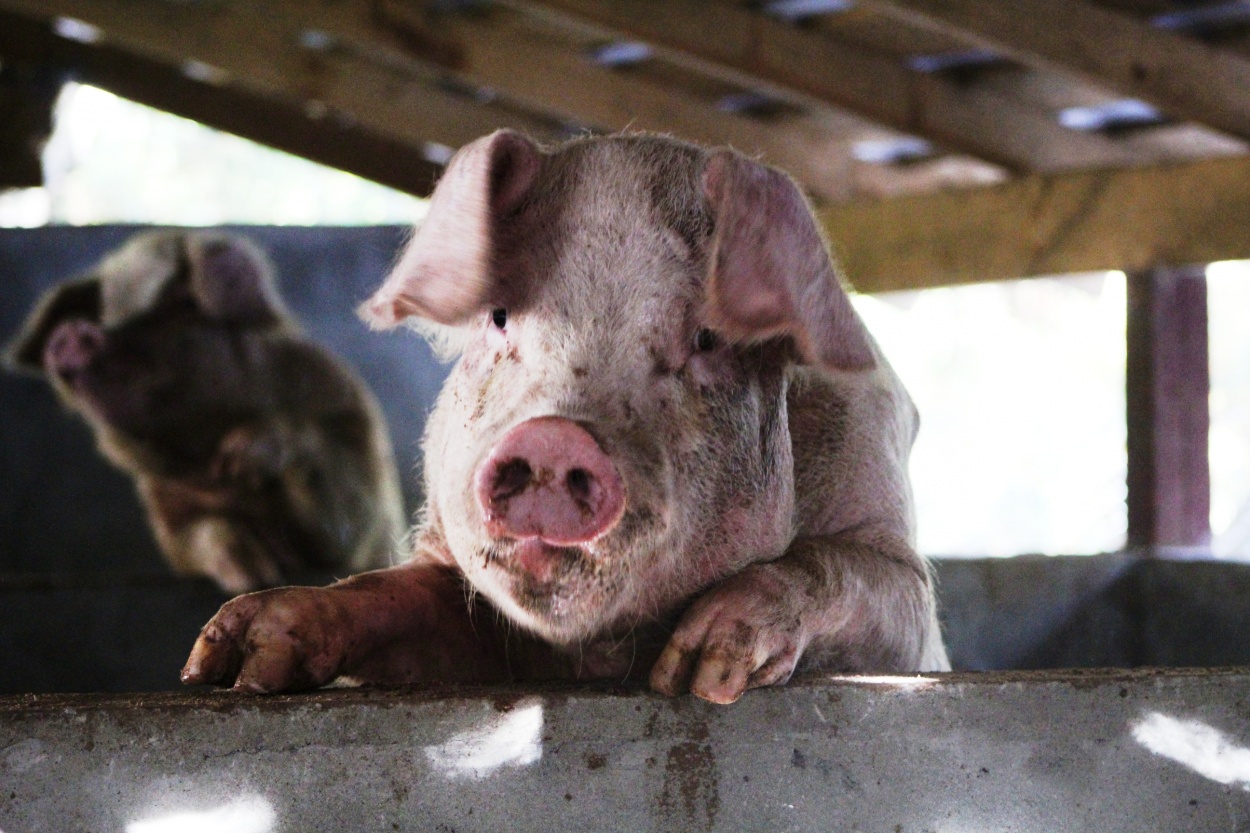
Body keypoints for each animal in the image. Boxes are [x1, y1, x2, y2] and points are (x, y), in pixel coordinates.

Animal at [182, 130, 945, 700]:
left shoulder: (900, 572)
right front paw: (233, 659)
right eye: (499, 316)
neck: (597, 653)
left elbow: (851, 573)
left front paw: (699, 669)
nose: (554, 436)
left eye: (706, 339)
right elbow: (393, 592)